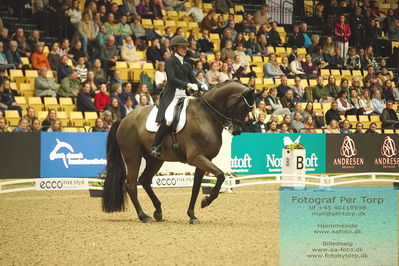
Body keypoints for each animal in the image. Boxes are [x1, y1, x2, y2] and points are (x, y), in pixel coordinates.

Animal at [101, 80, 255, 224]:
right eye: (243, 107)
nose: (237, 131)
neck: (206, 116)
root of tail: (123, 120)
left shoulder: (205, 159)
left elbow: (196, 187)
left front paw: (192, 215)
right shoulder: (196, 157)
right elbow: (220, 175)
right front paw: (206, 201)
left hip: (155, 159)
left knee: (144, 180)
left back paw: (158, 211)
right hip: (133, 157)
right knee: (131, 185)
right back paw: (144, 216)